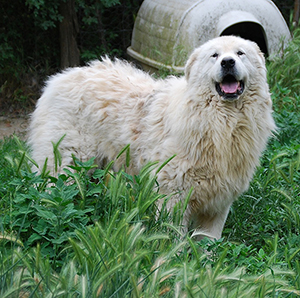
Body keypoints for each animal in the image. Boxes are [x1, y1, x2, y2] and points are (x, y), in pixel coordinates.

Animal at [29, 35, 276, 240]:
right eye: (214, 55)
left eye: (240, 53)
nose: (227, 62)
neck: (222, 122)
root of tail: (59, 79)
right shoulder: (173, 194)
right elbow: (172, 237)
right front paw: (173, 262)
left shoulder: (218, 202)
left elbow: (209, 243)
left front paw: (206, 264)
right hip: (67, 166)